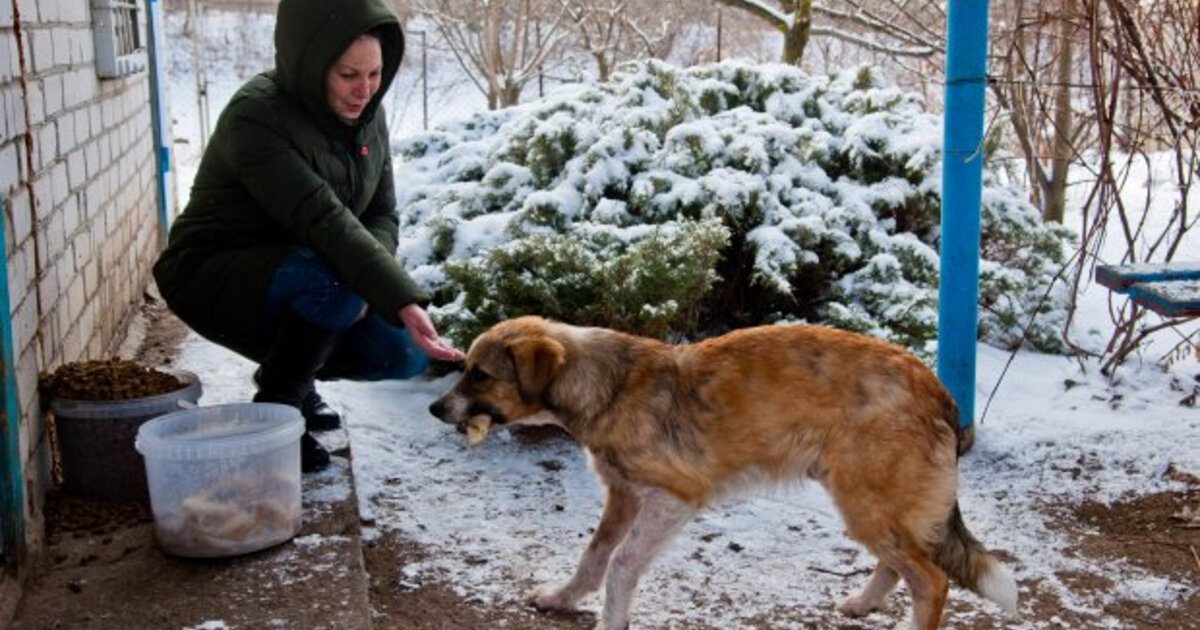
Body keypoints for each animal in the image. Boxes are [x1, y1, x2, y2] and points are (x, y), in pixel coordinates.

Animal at [427, 316, 1017, 624]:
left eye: (480, 375)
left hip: (866, 502)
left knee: (932, 579)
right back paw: (862, 603)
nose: (434, 409)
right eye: (465, 369)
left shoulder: (674, 498)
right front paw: (562, 598)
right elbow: (592, 558)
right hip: (866, 503)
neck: (607, 386)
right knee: (901, 566)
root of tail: (935, 388)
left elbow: (620, 564)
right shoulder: (623, 497)